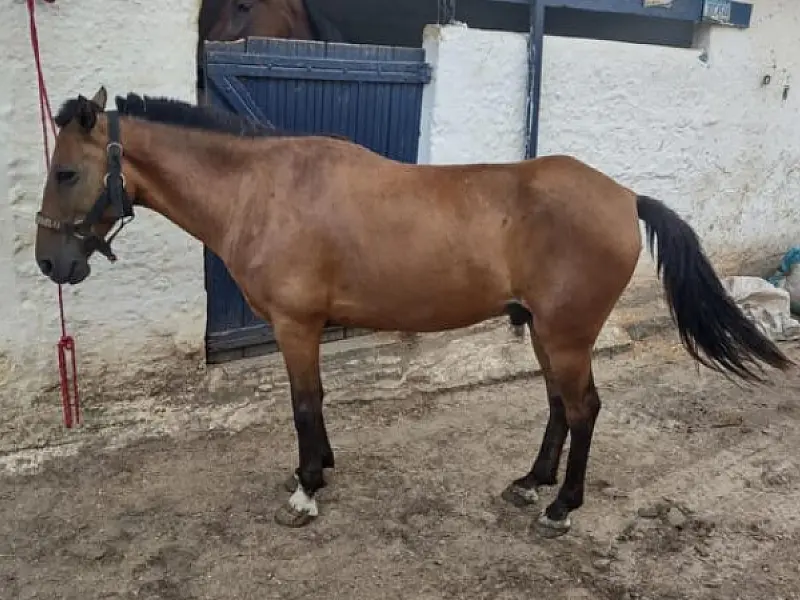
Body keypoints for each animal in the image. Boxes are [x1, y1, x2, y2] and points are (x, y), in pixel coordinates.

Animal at [34, 87, 794, 537]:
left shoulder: (295, 327)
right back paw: (532, 483)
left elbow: (303, 403)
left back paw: (560, 506)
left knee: (582, 409)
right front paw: (321, 468)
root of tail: (624, 196)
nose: (49, 265)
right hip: (547, 333)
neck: (263, 189)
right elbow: (316, 403)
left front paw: (307, 488)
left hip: (568, 333)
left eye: (66, 171)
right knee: (558, 405)